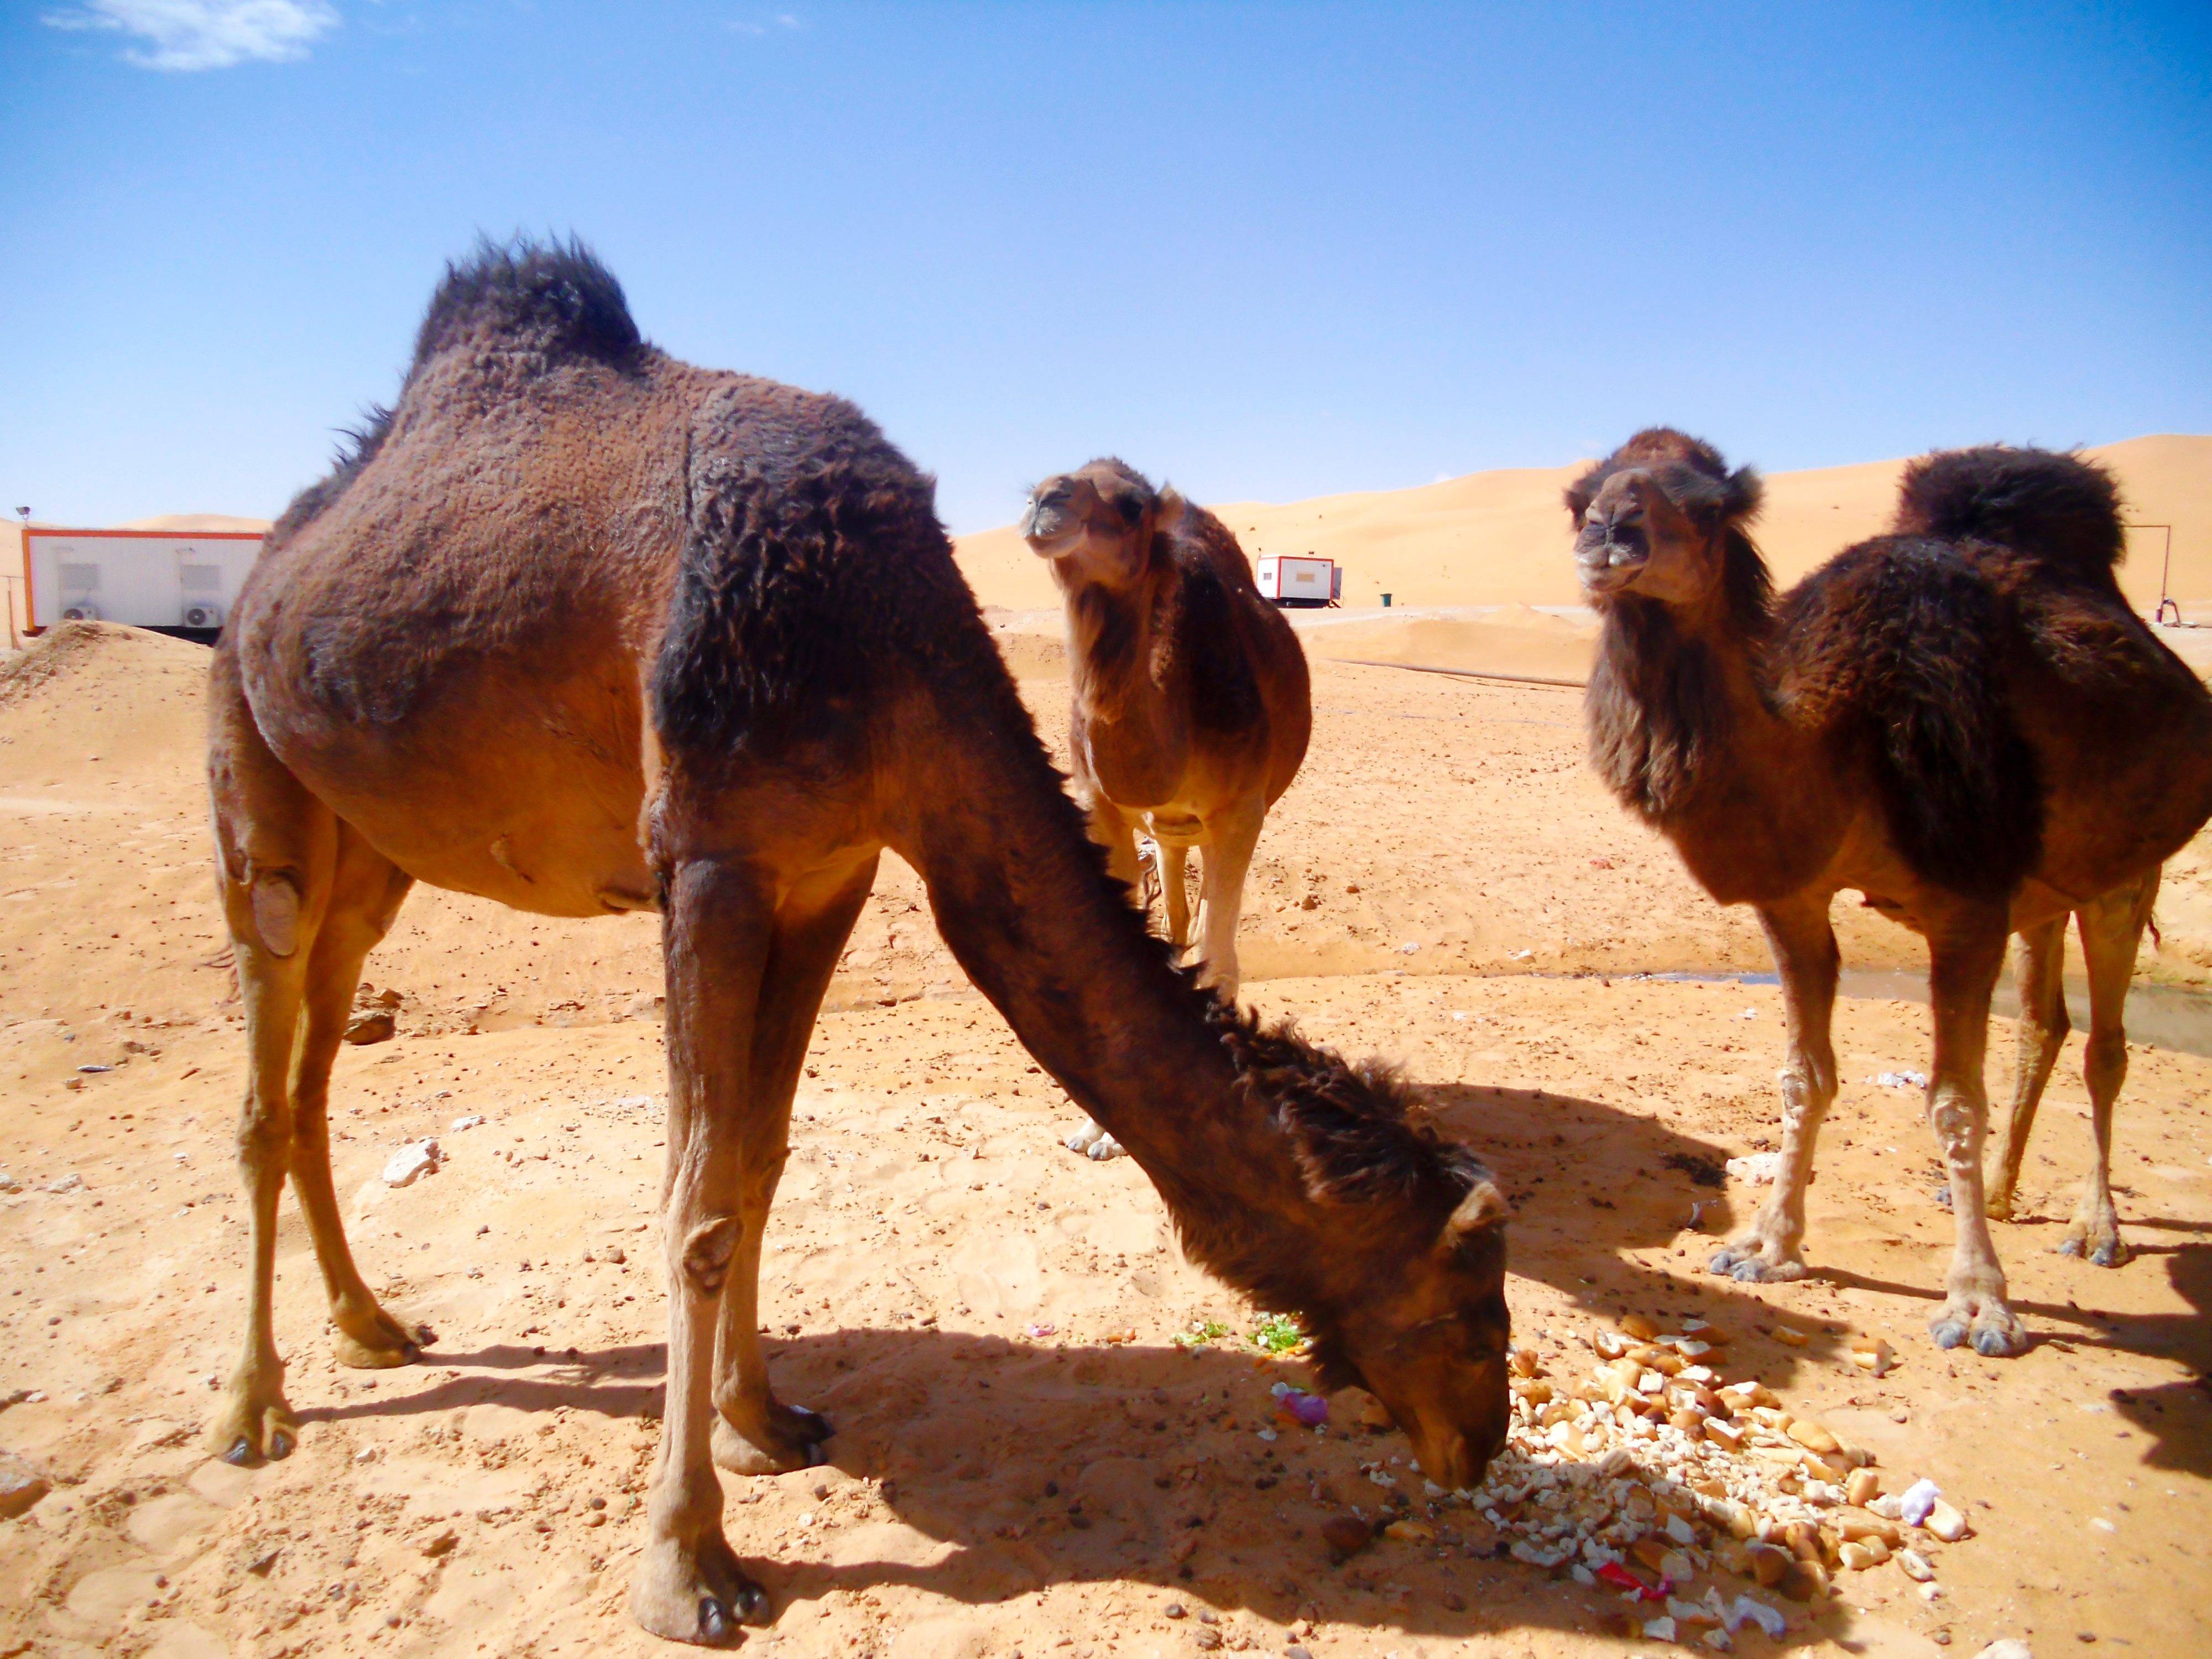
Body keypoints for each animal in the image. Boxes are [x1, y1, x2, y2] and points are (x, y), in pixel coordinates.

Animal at [208, 237, 1513, 1655]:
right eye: (1466, 1300)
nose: (1481, 1443)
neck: (877, 624)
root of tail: (270, 563)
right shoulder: (711, 855)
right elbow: (695, 1203)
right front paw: (688, 1564)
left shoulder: (829, 868)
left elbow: (756, 1160)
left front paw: (763, 1419)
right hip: (250, 766)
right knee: (264, 1065)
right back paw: (252, 1410)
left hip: (373, 848)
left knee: (317, 1063)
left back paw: (370, 1325)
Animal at [1566, 431, 2212, 1363]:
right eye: (1578, 497)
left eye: (1707, 507)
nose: (1610, 532)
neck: (1842, 739)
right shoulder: (1794, 901)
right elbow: (1804, 1077)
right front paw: (1766, 1247)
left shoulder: (1968, 904)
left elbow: (1954, 1102)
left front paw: (1979, 1305)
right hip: (2042, 894)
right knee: (2045, 1025)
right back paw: (2001, 1193)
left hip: (2126, 871)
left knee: (2106, 1047)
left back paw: (2096, 1229)